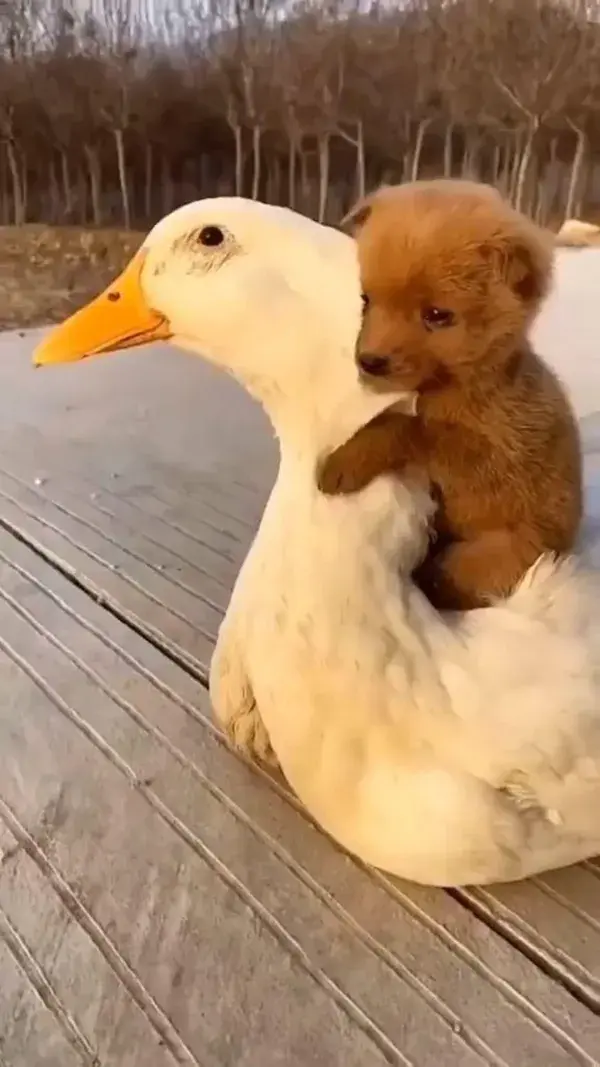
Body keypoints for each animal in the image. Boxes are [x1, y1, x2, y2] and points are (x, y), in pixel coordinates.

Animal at [318, 180, 580, 614]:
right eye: (366, 300)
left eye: (438, 315)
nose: (369, 361)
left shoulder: (498, 460)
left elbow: (412, 427)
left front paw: (343, 463)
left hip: (500, 551)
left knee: (452, 580)